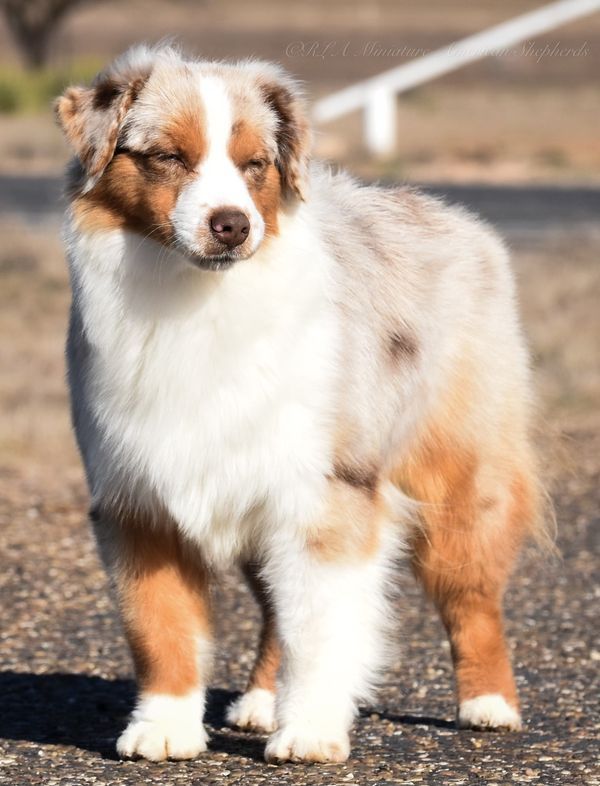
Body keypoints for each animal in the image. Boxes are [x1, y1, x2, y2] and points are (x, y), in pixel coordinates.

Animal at [56, 43, 544, 760]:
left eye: (255, 164)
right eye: (168, 156)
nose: (232, 226)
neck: (195, 302)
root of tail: (453, 216)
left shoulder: (325, 491)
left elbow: (321, 626)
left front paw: (310, 731)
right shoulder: (137, 497)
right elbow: (159, 624)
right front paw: (164, 727)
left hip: (458, 476)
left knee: (471, 595)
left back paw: (489, 704)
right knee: (273, 613)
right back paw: (260, 703)